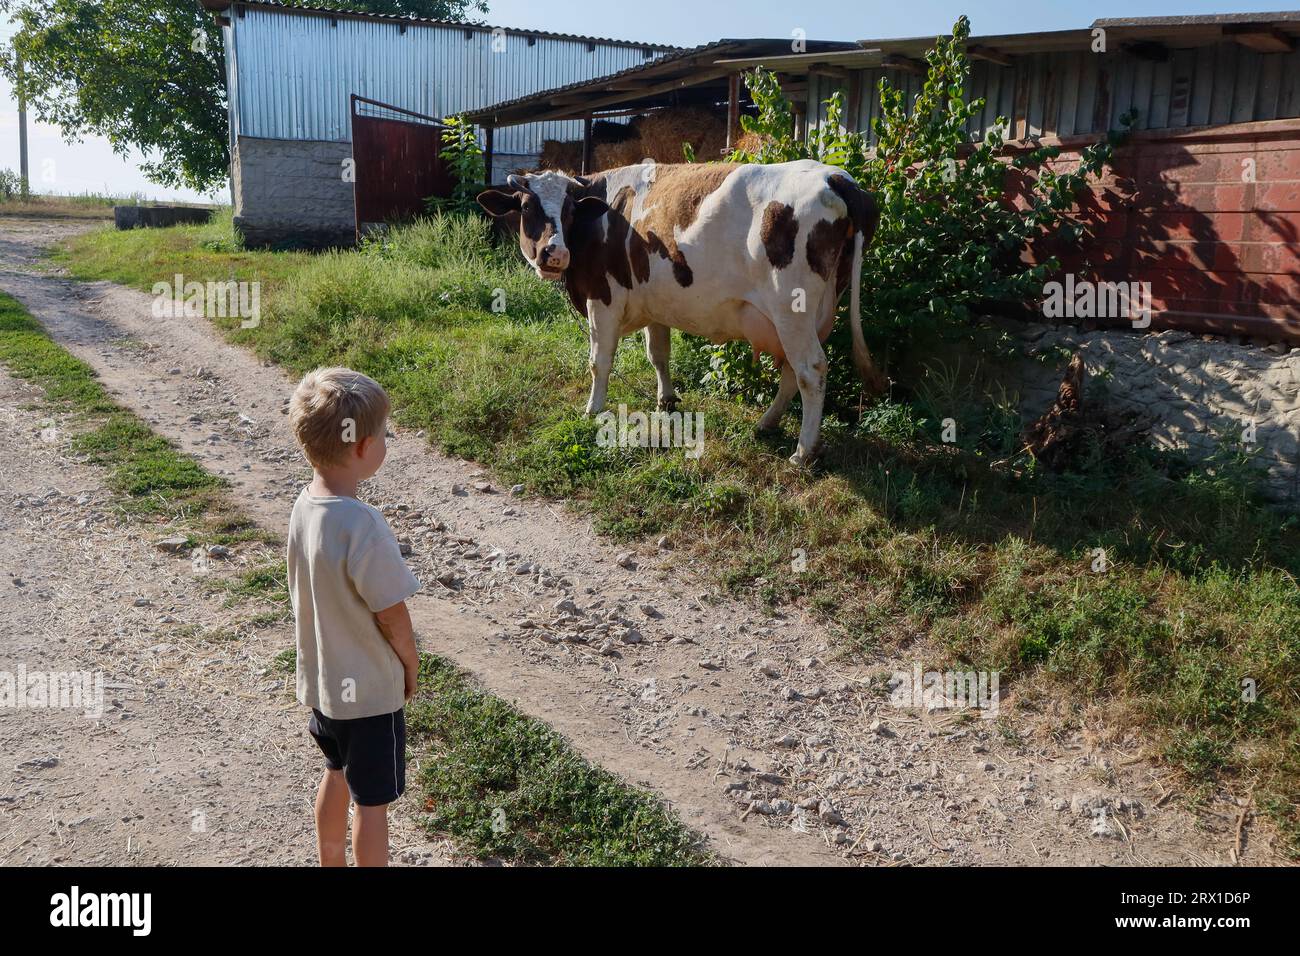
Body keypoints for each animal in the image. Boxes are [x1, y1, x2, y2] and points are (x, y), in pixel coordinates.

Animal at [478, 158, 883, 465]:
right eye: (527, 206)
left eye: (569, 210)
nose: (555, 253)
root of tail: (835, 176)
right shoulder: (657, 304)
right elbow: (658, 353)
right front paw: (667, 399)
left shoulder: (602, 299)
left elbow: (599, 361)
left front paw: (593, 408)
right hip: (814, 312)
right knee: (791, 373)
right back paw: (767, 424)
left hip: (791, 310)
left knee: (810, 371)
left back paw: (802, 452)